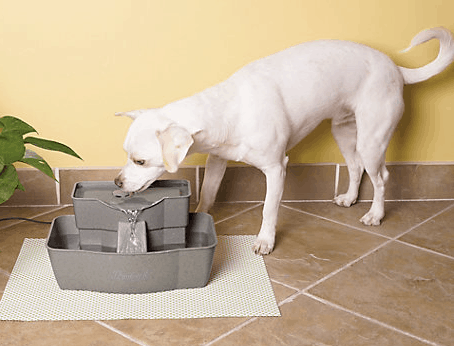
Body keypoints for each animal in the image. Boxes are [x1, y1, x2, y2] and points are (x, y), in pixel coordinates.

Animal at [114, 27, 454, 254]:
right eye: (126, 154)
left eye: (140, 161)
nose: (117, 182)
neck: (229, 108)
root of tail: (396, 68)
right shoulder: (218, 159)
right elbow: (209, 191)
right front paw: (202, 212)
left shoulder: (277, 169)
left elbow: (269, 209)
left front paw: (265, 241)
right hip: (345, 133)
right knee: (355, 167)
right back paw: (350, 198)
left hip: (372, 140)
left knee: (381, 176)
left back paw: (375, 214)